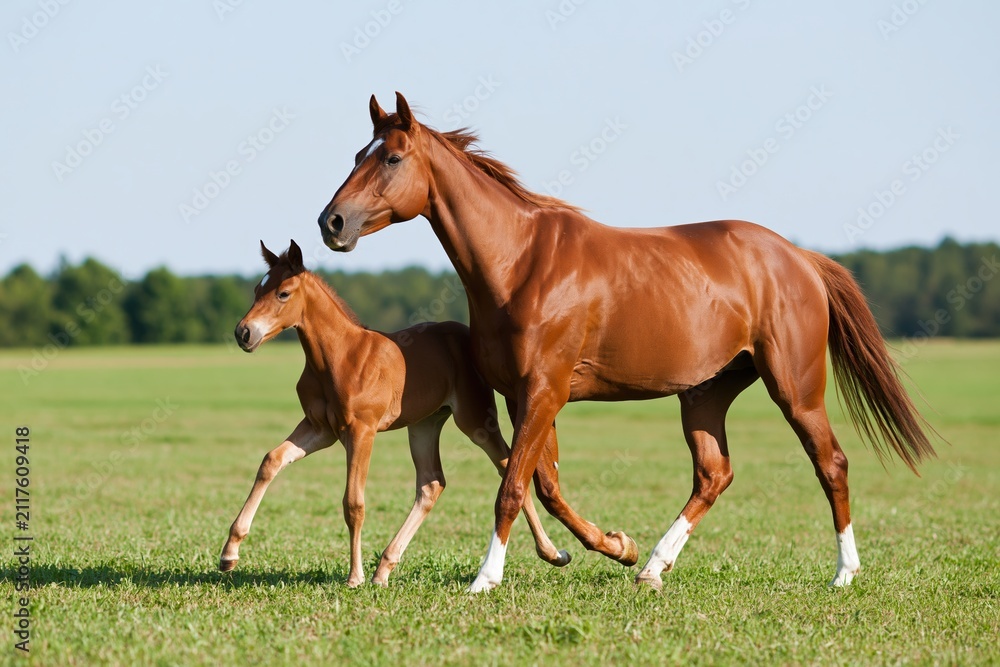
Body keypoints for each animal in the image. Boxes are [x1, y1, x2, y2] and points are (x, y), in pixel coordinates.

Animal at [218, 240, 570, 587]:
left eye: (283, 293)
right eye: (256, 289)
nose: (243, 333)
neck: (340, 356)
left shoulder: (361, 430)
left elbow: (353, 502)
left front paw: (355, 576)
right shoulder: (320, 429)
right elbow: (271, 461)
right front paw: (229, 553)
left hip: (474, 421)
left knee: (508, 465)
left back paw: (551, 553)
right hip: (424, 424)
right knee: (431, 483)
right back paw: (385, 568)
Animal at [316, 93, 937, 593]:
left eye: (391, 157)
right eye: (356, 154)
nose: (331, 222)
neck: (522, 263)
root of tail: (800, 258)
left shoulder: (544, 392)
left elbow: (513, 487)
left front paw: (485, 579)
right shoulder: (526, 397)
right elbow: (546, 485)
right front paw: (617, 546)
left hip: (796, 389)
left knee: (831, 464)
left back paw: (844, 573)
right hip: (705, 395)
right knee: (714, 475)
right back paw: (653, 567)